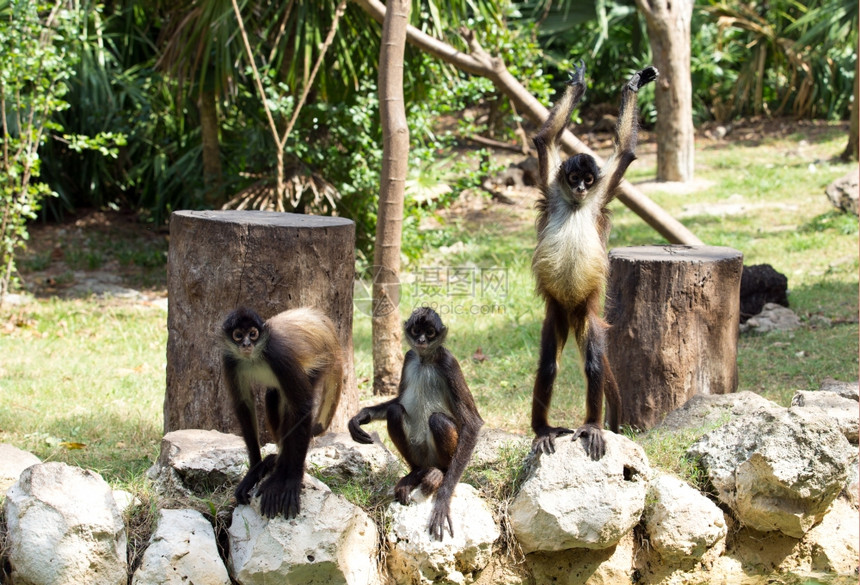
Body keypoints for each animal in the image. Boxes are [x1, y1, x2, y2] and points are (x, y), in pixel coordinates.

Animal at [222, 306, 342, 516]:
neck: (254, 358)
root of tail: (328, 330)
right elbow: (243, 405)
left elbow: (302, 406)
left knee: (292, 406)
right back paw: (275, 462)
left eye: (252, 334)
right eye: (238, 335)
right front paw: (254, 471)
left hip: (318, 365)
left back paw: (281, 472)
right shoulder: (230, 359)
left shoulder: (279, 355)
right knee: (273, 396)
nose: (246, 344)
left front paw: (293, 479)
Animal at [350, 308, 484, 540]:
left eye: (429, 332)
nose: (421, 340)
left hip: (438, 455)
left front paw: (443, 499)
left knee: (438, 420)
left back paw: (439, 473)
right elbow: (396, 402)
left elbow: (472, 422)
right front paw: (362, 415)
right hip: (419, 453)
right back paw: (416, 473)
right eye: (416, 330)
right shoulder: (409, 357)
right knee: (395, 411)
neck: (424, 360)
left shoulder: (448, 361)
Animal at [532, 60, 660, 460]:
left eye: (589, 180)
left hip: (588, 314)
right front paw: (578, 82)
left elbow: (624, 152)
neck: (575, 203)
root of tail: (574, 311)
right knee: (548, 367)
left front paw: (634, 84)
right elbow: (545, 141)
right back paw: (542, 429)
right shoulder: (551, 187)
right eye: (574, 176)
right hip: (556, 313)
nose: (579, 188)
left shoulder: (603, 190)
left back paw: (591, 425)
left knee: (592, 364)